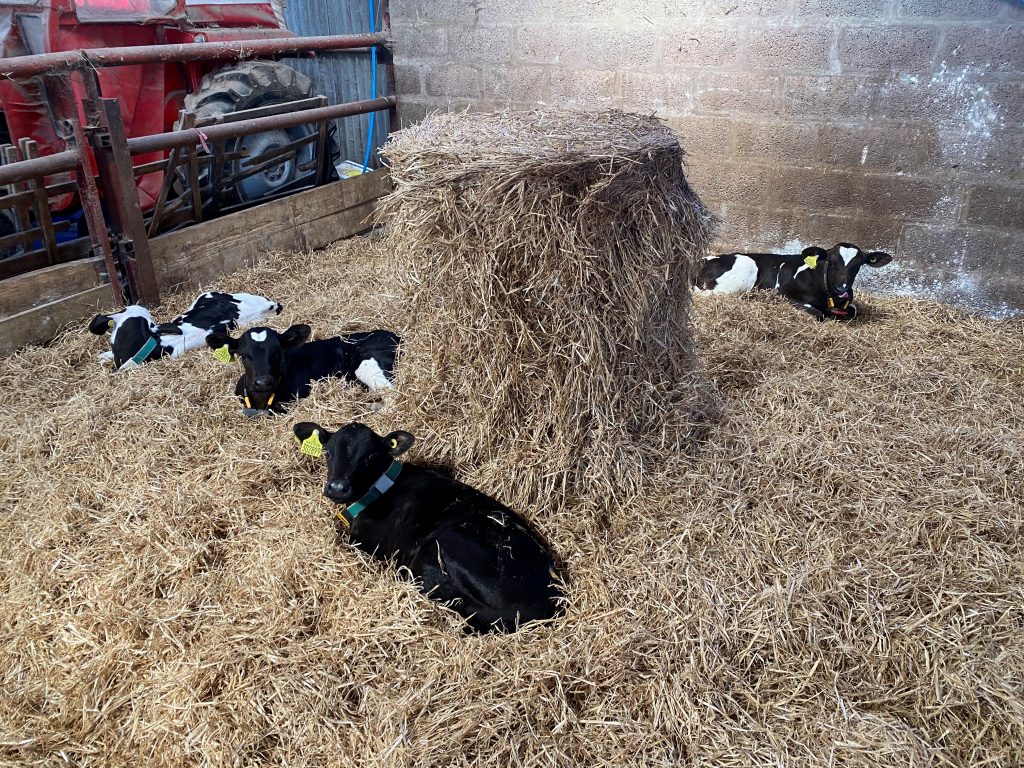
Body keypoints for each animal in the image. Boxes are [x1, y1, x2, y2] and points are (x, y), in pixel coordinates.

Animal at [206, 324, 400, 416]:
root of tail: (396, 335)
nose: (263, 382)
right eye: (244, 355)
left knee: (393, 395)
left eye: (278, 352)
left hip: (368, 364)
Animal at [695, 243, 893, 321]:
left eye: (858, 265)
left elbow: (853, 310)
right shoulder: (784, 294)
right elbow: (818, 314)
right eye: (832, 262)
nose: (842, 288)